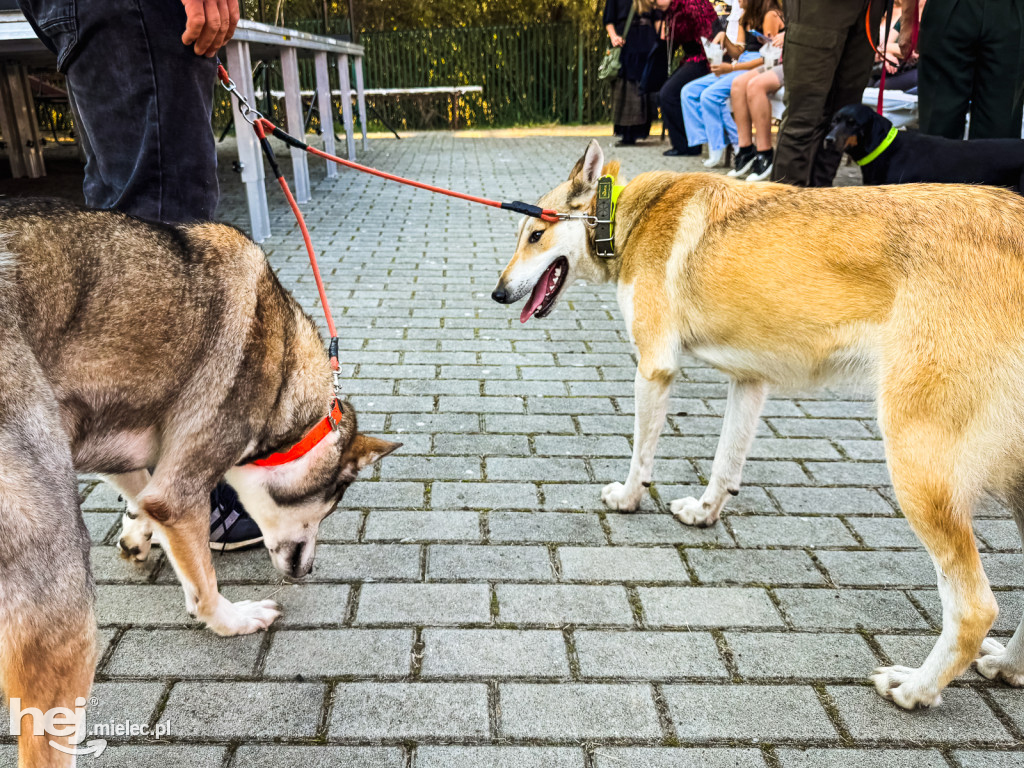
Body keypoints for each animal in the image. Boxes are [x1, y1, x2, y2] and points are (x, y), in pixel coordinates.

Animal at [491, 141, 1024, 712]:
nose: (498, 294)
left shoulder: (655, 368)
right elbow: (725, 464)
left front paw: (629, 499)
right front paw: (704, 514)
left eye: (535, 235)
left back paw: (916, 687)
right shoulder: (750, 380)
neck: (626, 214)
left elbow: (641, 455)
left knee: (974, 609)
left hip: (919, 465)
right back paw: (1007, 667)